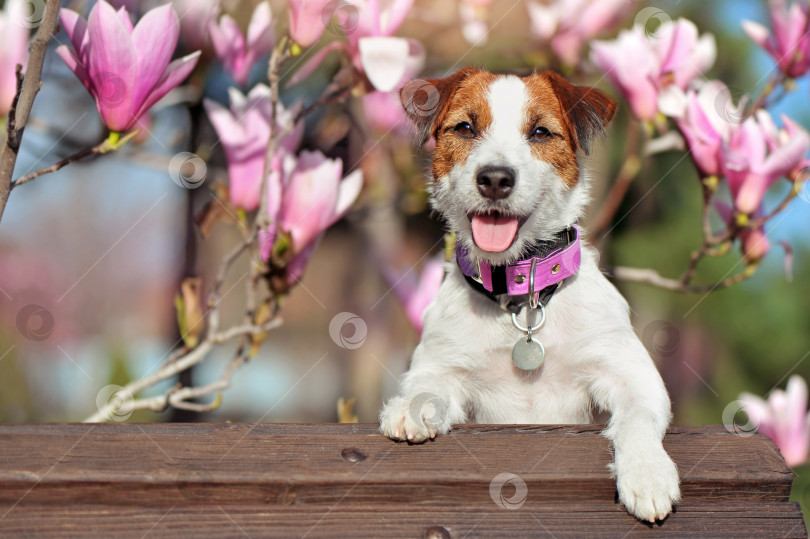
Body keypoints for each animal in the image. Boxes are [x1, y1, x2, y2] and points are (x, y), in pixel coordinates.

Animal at [378, 67, 676, 524]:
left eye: (540, 132)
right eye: (465, 128)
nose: (496, 179)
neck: (520, 298)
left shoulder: (632, 375)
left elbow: (637, 418)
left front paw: (648, 474)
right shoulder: (443, 363)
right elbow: (428, 384)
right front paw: (411, 407)